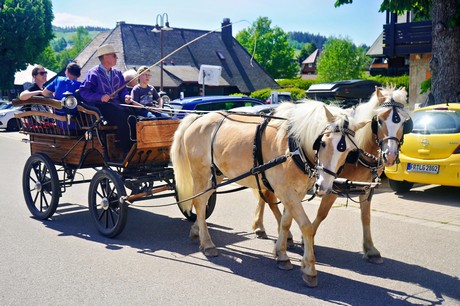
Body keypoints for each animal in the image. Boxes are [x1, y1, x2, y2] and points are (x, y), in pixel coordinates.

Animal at [172, 101, 370, 286]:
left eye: (349, 152)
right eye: (322, 143)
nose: (323, 186)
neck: (293, 147)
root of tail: (197, 119)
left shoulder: (296, 193)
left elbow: (285, 223)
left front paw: (281, 254)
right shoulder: (286, 191)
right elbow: (306, 226)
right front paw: (309, 269)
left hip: (217, 175)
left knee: (202, 201)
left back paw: (197, 231)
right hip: (201, 173)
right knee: (199, 203)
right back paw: (207, 243)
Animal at [252, 85, 414, 262]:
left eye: (405, 122)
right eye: (379, 120)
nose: (390, 155)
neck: (358, 152)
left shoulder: (366, 187)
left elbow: (366, 216)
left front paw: (370, 249)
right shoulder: (332, 186)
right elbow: (322, 213)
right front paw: (308, 240)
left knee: (264, 196)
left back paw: (263, 227)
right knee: (268, 198)